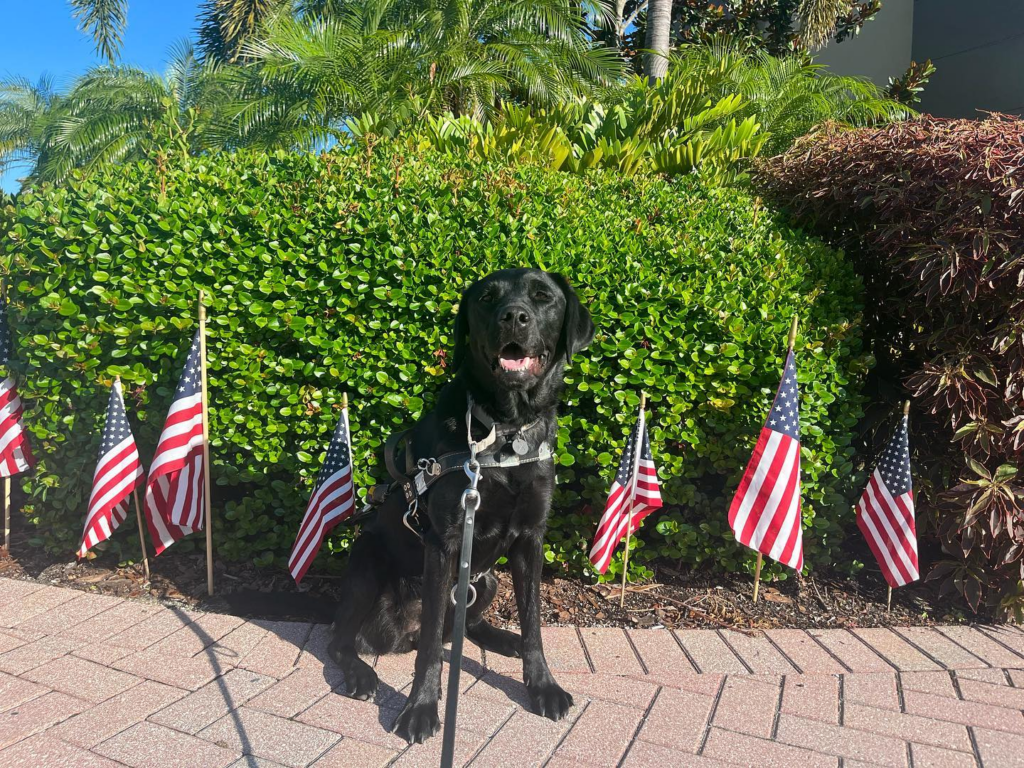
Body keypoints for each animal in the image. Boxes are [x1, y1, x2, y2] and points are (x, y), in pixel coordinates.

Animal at [327, 268, 598, 745]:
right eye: (487, 299)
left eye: (543, 296)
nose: (514, 317)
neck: (506, 430)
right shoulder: (446, 541)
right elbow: (433, 649)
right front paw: (420, 709)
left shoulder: (531, 539)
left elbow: (533, 624)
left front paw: (542, 686)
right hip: (367, 559)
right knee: (345, 640)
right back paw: (360, 675)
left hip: (485, 579)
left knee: (468, 625)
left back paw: (503, 639)